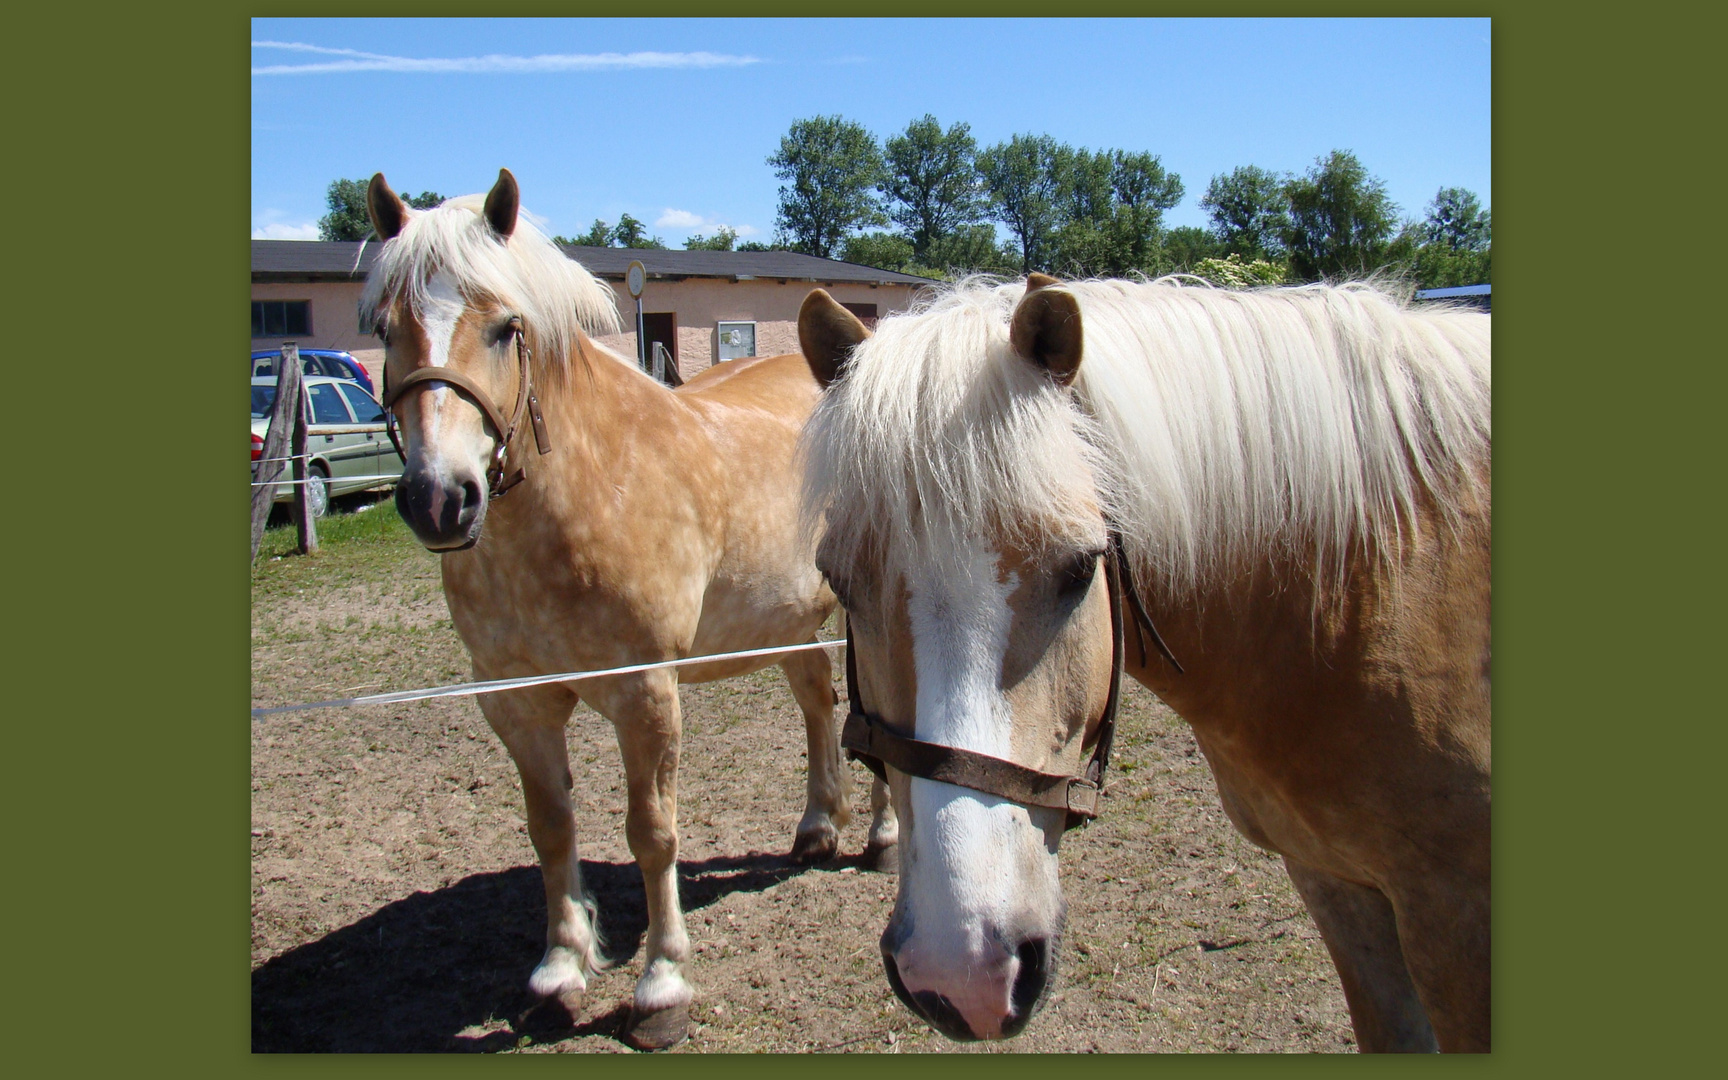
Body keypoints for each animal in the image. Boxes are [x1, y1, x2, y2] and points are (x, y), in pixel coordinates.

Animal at [354, 168, 891, 1043]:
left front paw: (662, 986)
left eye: (505, 327)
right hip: (783, 618)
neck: (591, 487)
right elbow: (552, 828)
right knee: (818, 698)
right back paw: (817, 827)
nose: (440, 499)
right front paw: (559, 969)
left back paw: (881, 836)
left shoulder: (646, 693)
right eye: (382, 326)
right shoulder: (518, 702)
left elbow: (652, 832)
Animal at [801, 273, 1492, 1050]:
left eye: (1080, 569)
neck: (1365, 586)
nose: (962, 973)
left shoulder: (1456, 919)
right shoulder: (1339, 886)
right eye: (839, 581)